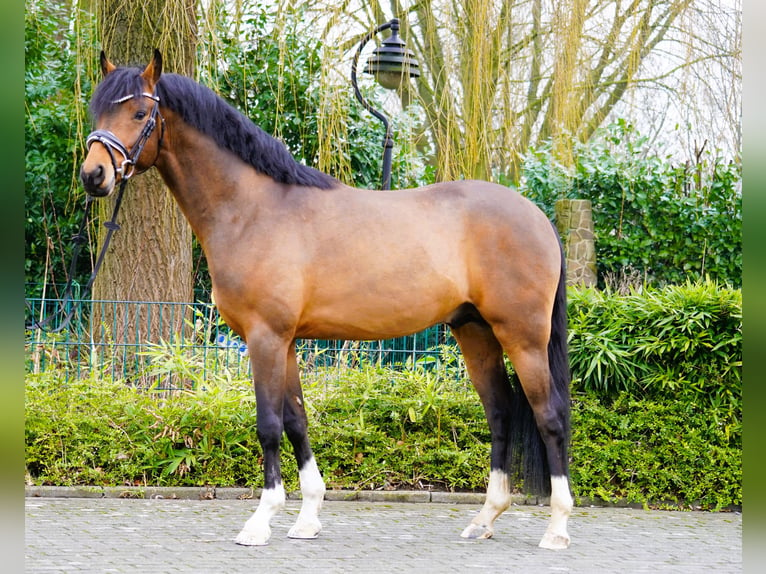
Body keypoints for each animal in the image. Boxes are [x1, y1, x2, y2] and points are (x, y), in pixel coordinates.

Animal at [82, 51, 576, 552]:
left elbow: (268, 425)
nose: (93, 175)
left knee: (550, 416)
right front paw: (307, 518)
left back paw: (556, 528)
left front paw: (260, 521)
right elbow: (297, 421)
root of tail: (538, 217)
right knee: (500, 412)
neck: (252, 210)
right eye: (97, 112)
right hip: (475, 331)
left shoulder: (265, 338)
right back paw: (485, 518)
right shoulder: (286, 343)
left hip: (523, 337)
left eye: (139, 114)